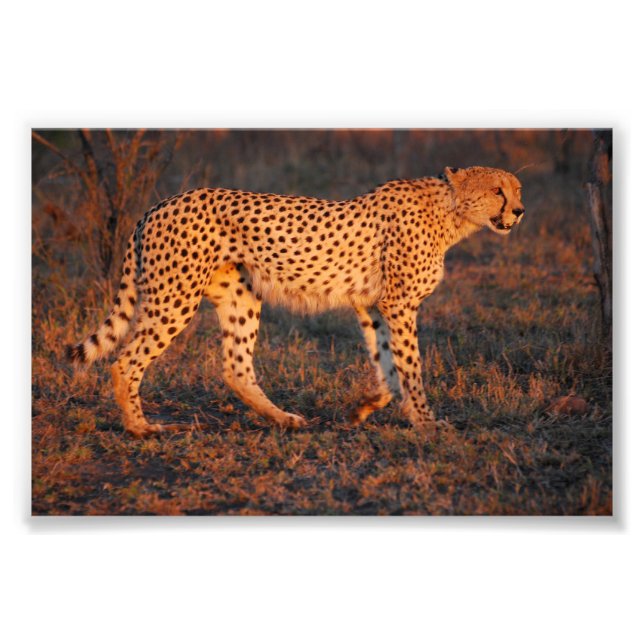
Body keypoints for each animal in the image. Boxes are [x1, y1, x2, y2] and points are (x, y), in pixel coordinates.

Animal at [67, 165, 525, 437]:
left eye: (517, 190)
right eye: (496, 190)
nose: (519, 211)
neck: (451, 212)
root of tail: (159, 204)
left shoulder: (372, 306)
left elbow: (388, 366)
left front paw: (366, 407)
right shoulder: (398, 304)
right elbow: (411, 367)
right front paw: (427, 422)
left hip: (241, 296)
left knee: (235, 367)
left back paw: (283, 419)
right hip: (174, 298)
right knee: (125, 362)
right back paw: (140, 428)